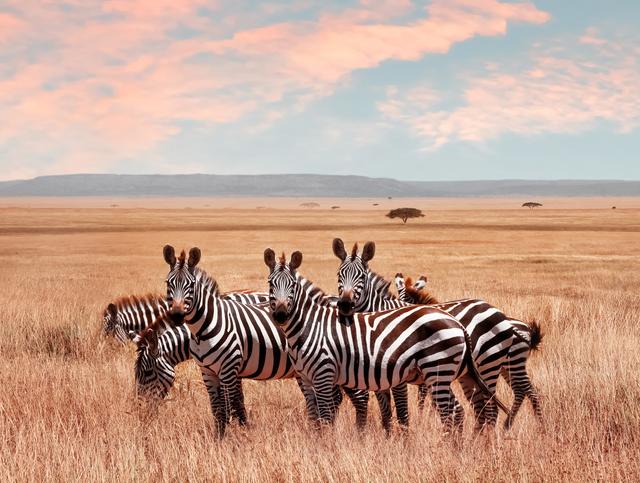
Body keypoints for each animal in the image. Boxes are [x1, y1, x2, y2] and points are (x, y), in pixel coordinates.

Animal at [160, 245, 368, 437]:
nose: (176, 316)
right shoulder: (207, 372)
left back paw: (359, 434)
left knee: (359, 396)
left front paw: (232, 438)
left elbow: (229, 406)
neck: (205, 327)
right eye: (168, 283)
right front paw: (220, 438)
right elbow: (218, 409)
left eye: (191, 284)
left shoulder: (229, 368)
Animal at [263, 248, 508, 435]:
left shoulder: (325, 374)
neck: (310, 325)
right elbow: (317, 416)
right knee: (469, 409)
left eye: (293, 286)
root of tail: (457, 324)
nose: (280, 315)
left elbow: (327, 416)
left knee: (462, 411)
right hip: (458, 373)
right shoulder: (308, 377)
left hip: (448, 369)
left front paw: (328, 446)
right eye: (270, 284)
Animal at [396, 273, 543, 431]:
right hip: (506, 366)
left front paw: (423, 418)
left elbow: (424, 396)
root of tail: (521, 326)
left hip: (512, 363)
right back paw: (507, 426)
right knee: (521, 390)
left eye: (406, 301)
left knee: (529, 391)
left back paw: (540, 426)